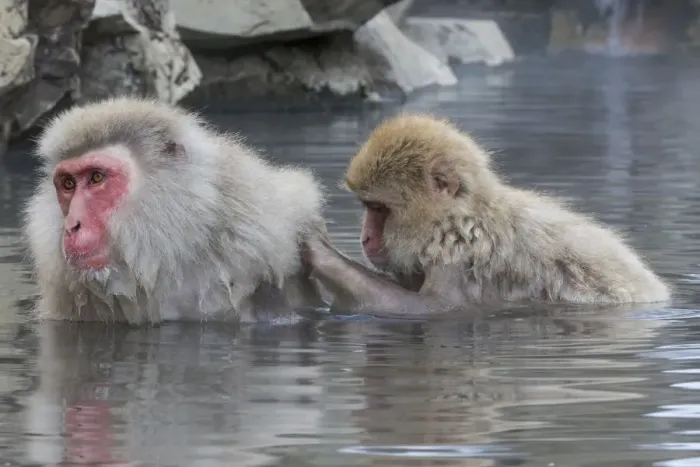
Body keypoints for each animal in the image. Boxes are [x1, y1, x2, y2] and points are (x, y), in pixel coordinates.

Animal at [302, 113, 671, 318]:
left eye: (378, 208)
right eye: (367, 207)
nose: (365, 237)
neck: (458, 216)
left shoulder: (458, 251)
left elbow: (436, 309)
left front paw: (324, 254)